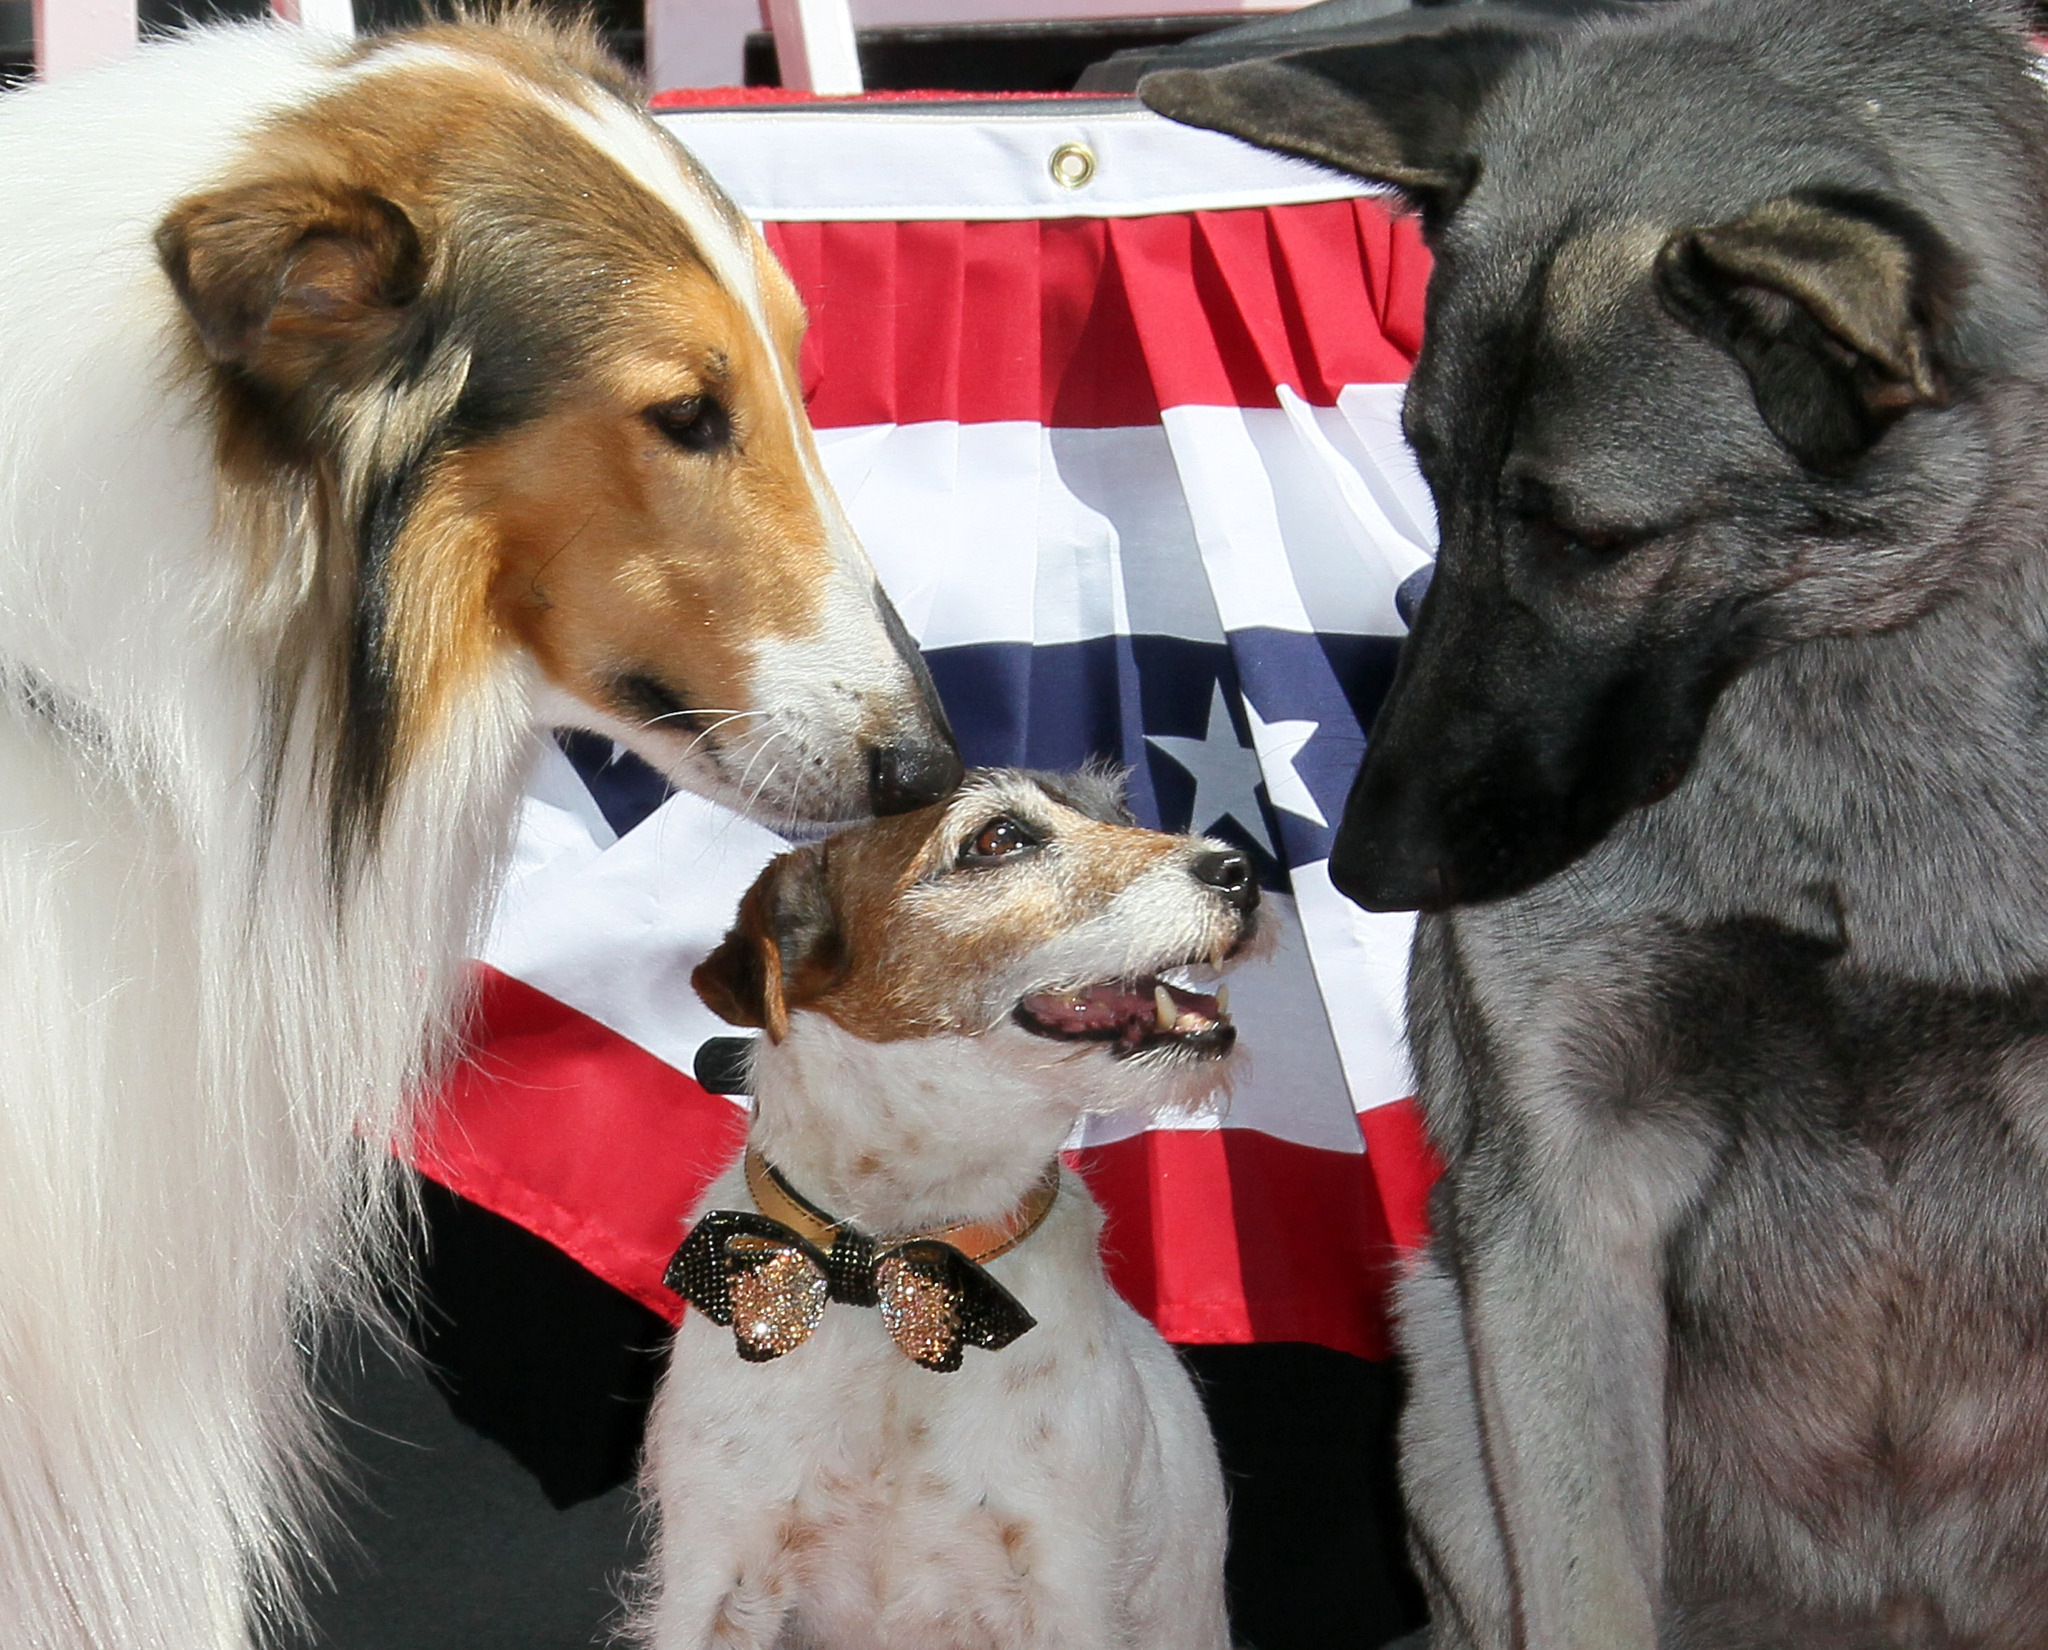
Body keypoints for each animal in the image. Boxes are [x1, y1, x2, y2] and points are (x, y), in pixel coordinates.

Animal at [638, 773, 1253, 1650]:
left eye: (1120, 815)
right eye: (998, 839)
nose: (1242, 871)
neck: (892, 1264)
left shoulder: (1068, 1587)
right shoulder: (714, 1573)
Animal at [1155, 3, 2048, 1650]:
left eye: (1587, 537)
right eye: (1429, 476)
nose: (1366, 870)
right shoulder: (1570, 1207)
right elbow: (1584, 1583)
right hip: (1447, 1363)